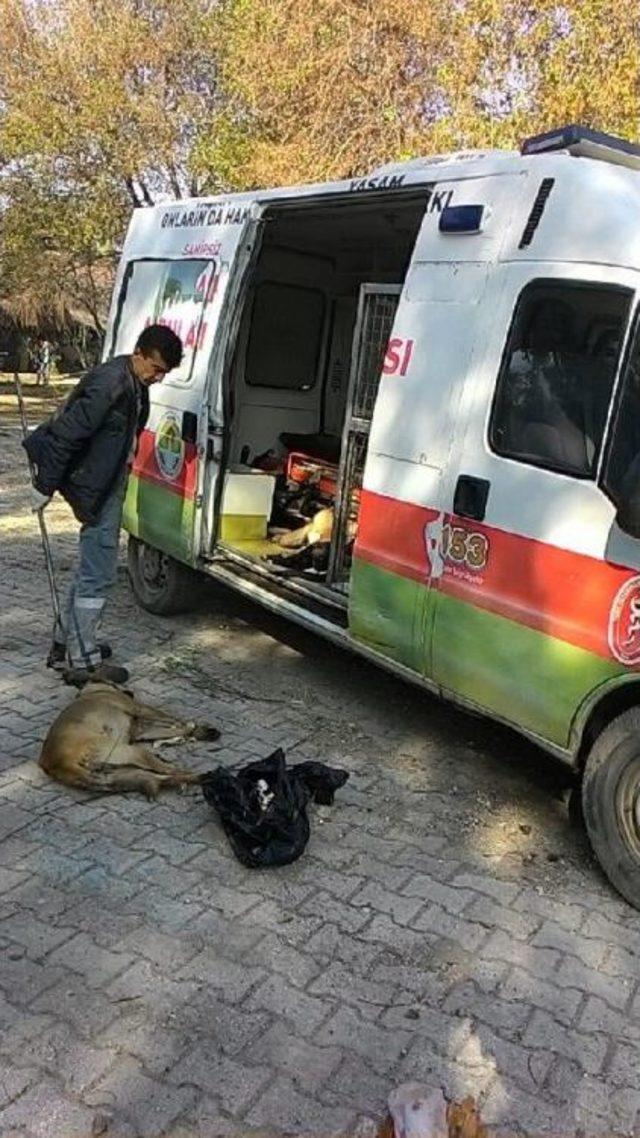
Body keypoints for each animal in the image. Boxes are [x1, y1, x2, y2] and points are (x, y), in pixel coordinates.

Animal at [40, 678, 218, 796]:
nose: (130, 691)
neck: (94, 690)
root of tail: (60, 763)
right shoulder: (142, 709)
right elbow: (173, 720)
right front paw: (194, 728)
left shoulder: (141, 730)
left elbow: (173, 729)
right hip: (131, 752)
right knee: (169, 770)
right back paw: (199, 776)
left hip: (118, 774)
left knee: (159, 777)